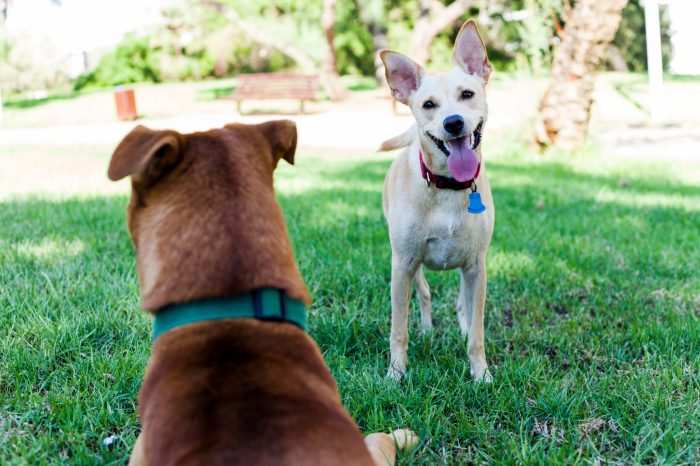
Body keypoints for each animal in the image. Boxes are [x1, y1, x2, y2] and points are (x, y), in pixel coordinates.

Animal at [380, 19, 494, 382]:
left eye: (467, 94)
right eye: (428, 104)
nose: (453, 122)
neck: (447, 187)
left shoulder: (477, 265)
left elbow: (478, 330)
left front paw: (480, 374)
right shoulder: (402, 263)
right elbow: (398, 329)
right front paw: (396, 373)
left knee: (462, 305)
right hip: (410, 262)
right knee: (425, 293)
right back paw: (428, 331)